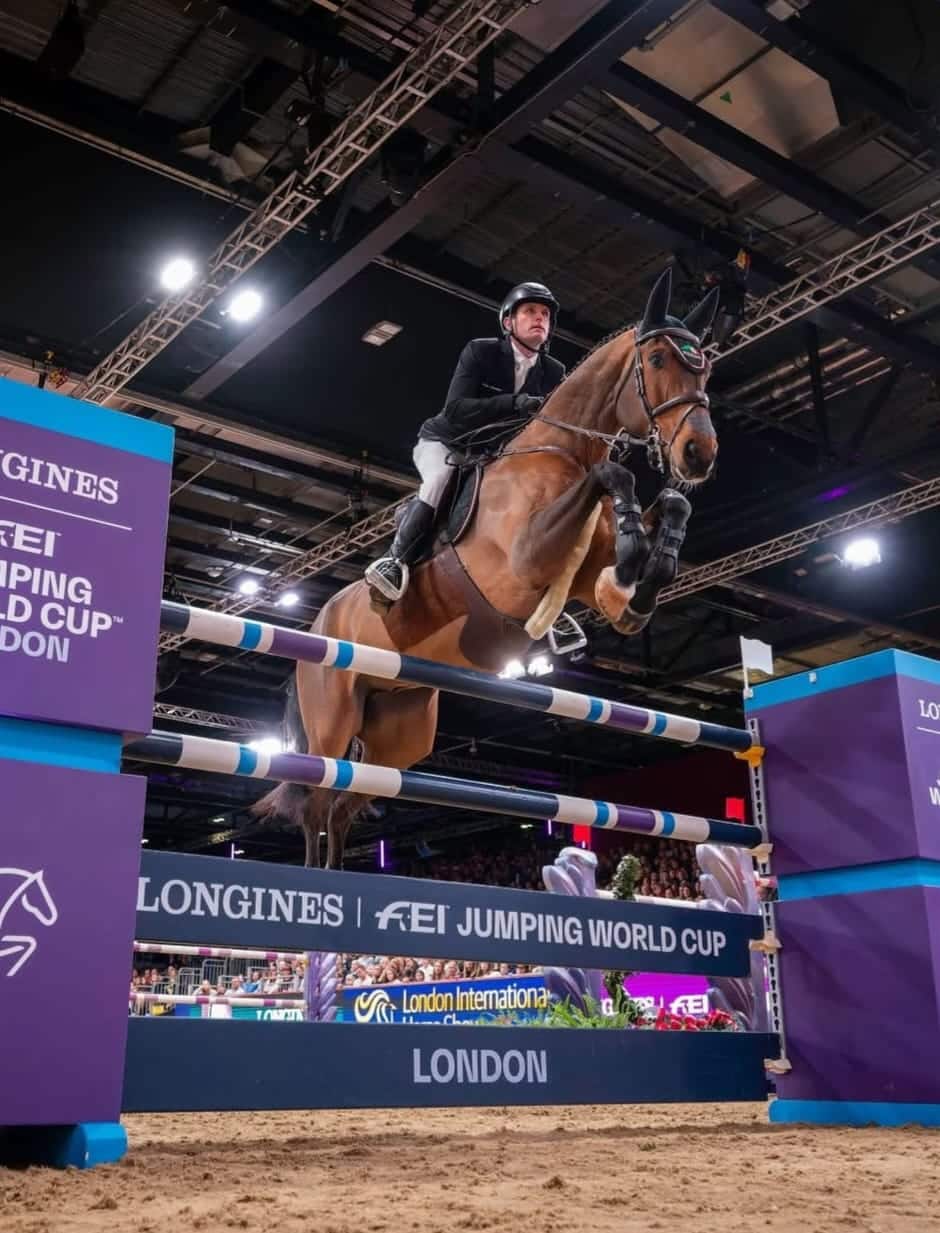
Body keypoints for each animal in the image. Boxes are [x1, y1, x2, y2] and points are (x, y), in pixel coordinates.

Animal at [250, 267, 715, 868]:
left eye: (705, 365)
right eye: (657, 359)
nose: (699, 454)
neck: (563, 453)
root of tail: (316, 623)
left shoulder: (586, 575)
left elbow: (666, 514)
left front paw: (641, 580)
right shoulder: (526, 557)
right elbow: (615, 474)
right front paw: (636, 556)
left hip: (399, 728)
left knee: (345, 805)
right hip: (332, 714)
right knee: (316, 800)